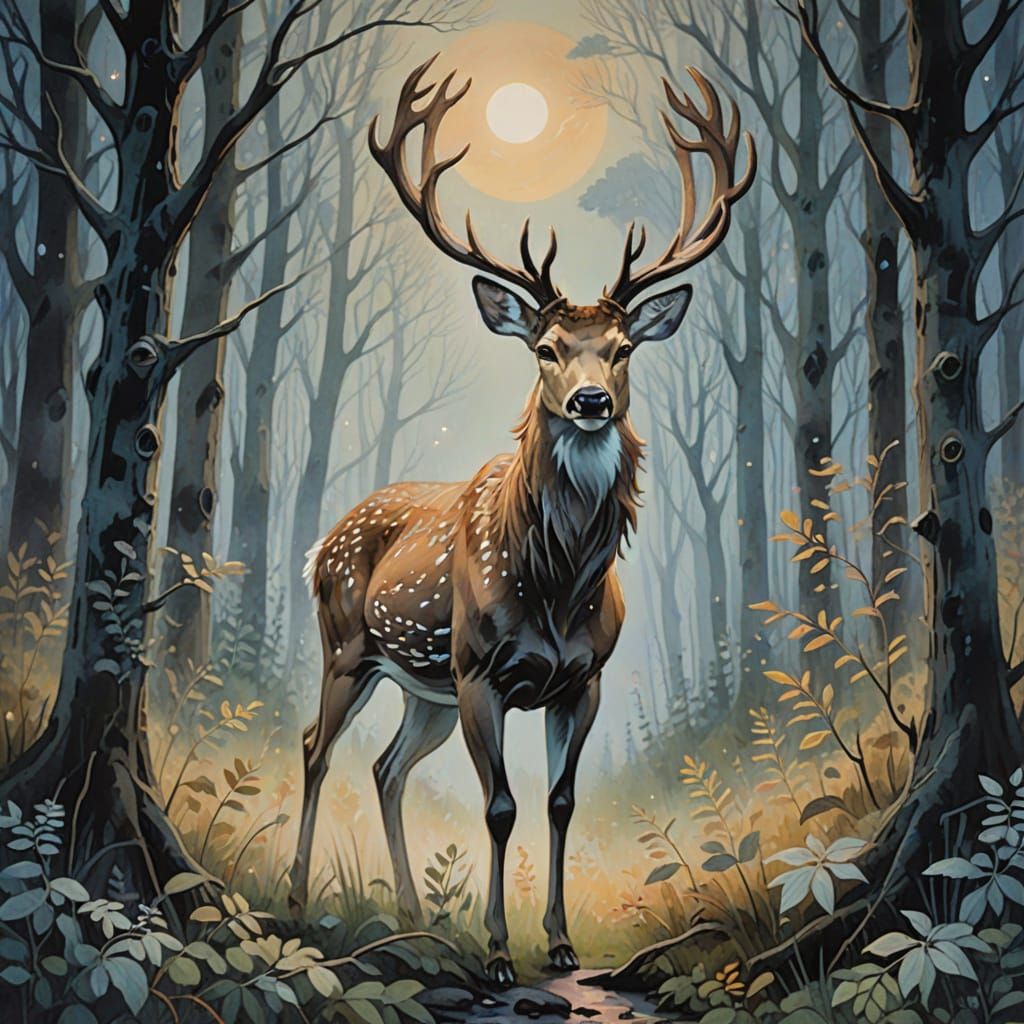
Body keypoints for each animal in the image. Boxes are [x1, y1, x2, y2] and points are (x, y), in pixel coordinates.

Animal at [287, 56, 755, 987]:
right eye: (544, 348)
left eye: (623, 347)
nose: (590, 401)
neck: (558, 585)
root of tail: (325, 538)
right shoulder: (481, 670)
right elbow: (500, 806)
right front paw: (501, 953)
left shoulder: (582, 677)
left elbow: (561, 801)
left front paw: (562, 943)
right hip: (352, 645)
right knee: (317, 746)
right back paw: (295, 896)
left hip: (420, 687)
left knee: (386, 768)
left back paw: (411, 915)